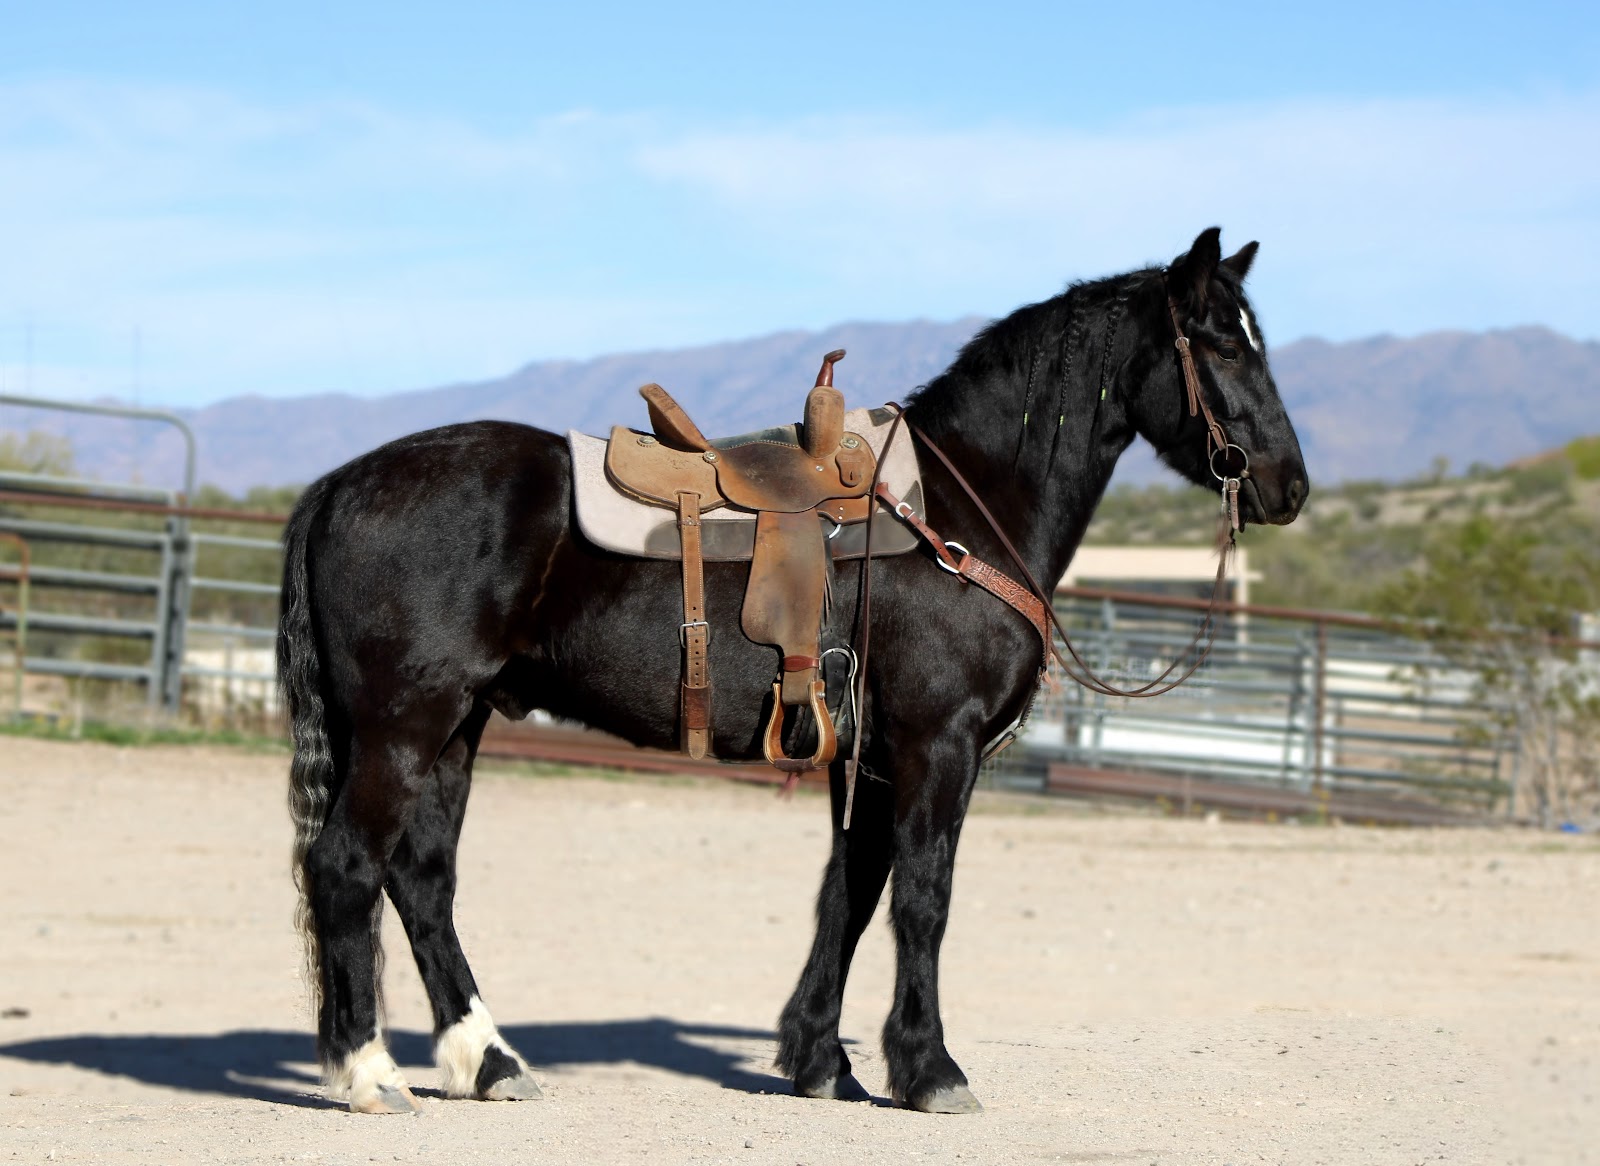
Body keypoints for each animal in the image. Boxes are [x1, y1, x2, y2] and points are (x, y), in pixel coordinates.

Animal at [277, 227, 1308, 1115]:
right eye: (1221, 343)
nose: (1288, 486)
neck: (961, 513)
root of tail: (338, 485)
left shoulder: (873, 759)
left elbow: (849, 898)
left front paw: (821, 1063)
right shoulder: (938, 745)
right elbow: (922, 899)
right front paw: (930, 1071)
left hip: (458, 725)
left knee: (422, 880)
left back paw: (488, 1062)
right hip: (406, 725)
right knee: (347, 864)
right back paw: (370, 1074)